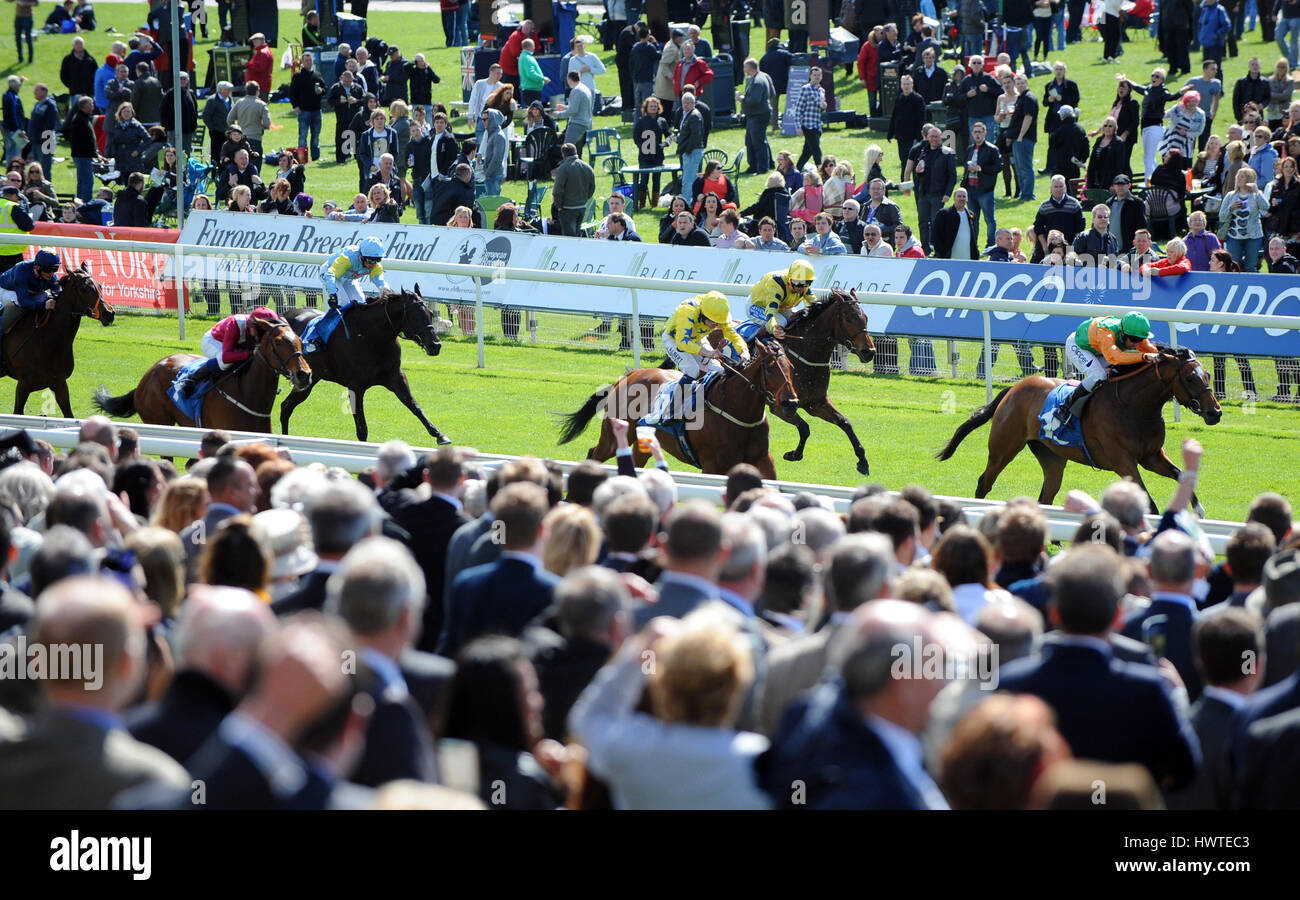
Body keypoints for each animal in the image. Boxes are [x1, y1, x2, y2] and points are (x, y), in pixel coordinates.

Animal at [1, 258, 114, 416]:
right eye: (84, 288)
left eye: (99, 286)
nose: (109, 313)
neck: (48, 339)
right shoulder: (23, 384)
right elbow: (18, 412)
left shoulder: (59, 383)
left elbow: (69, 415)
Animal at [92, 313, 313, 431]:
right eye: (278, 341)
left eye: (299, 339)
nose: (304, 374)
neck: (248, 395)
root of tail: (147, 375)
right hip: (159, 420)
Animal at [279, 286, 452, 444]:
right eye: (414, 316)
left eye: (430, 314)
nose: (435, 345)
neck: (371, 337)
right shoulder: (355, 386)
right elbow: (362, 429)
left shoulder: (396, 376)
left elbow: (414, 405)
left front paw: (440, 435)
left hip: (309, 379)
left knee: (286, 407)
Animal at [556, 338, 795, 478]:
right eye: (770, 369)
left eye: (791, 367)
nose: (790, 403)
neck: (739, 414)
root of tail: (628, 375)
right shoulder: (713, 467)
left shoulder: (763, 460)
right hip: (612, 435)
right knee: (594, 454)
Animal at [935, 343, 1216, 512]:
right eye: (1190, 377)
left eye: (1208, 375)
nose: (1215, 412)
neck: (1133, 406)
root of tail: (1014, 388)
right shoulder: (1123, 462)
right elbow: (1150, 504)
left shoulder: (1152, 456)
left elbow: (1181, 473)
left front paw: (1199, 510)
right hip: (1004, 448)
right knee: (984, 482)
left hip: (1052, 457)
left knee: (1046, 496)